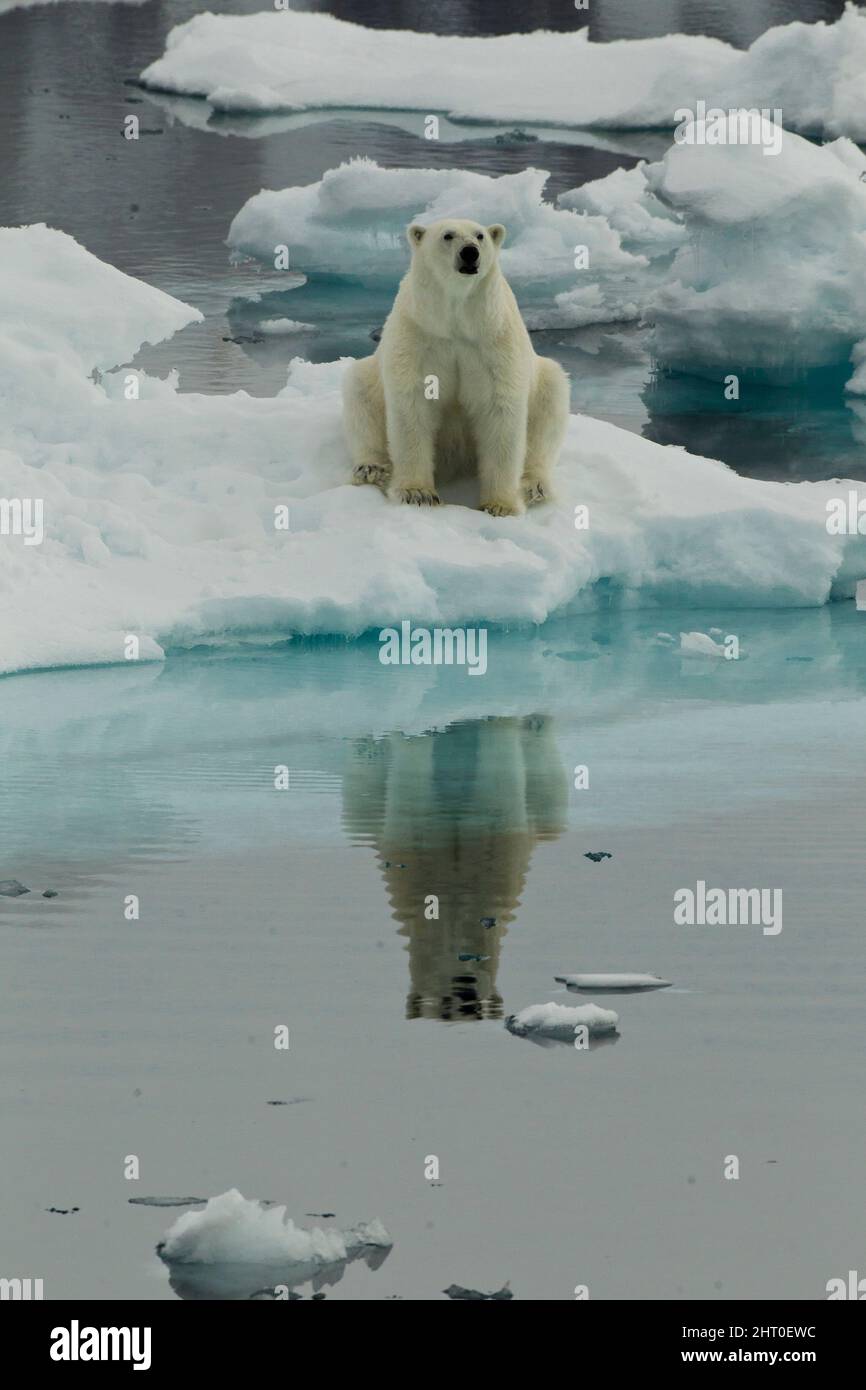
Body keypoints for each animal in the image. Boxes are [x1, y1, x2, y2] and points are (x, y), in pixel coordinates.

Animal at [342, 217, 570, 515]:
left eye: (480, 235)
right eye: (447, 235)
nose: (470, 252)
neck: (456, 320)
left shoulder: (494, 340)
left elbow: (500, 411)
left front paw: (500, 505)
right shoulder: (419, 335)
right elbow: (412, 406)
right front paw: (417, 493)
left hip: (543, 379)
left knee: (550, 405)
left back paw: (534, 486)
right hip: (369, 378)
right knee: (359, 393)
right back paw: (371, 469)